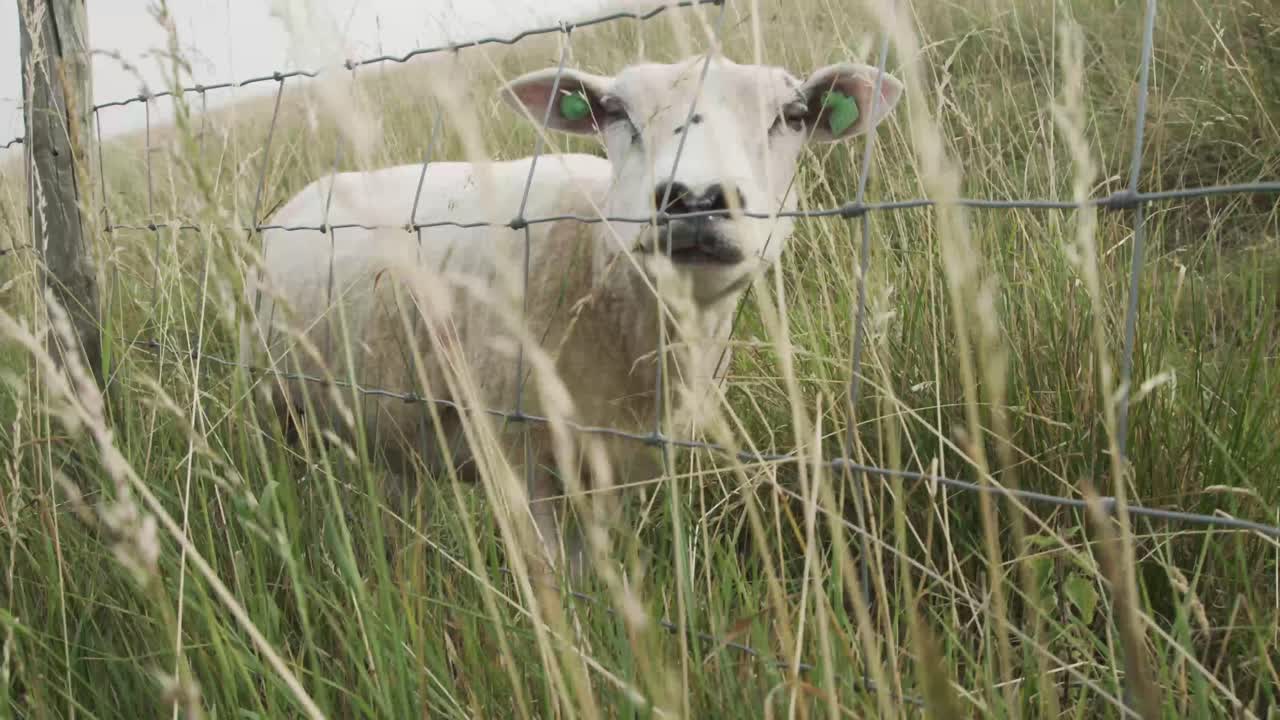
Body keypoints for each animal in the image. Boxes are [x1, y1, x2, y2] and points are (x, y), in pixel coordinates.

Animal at [239, 54, 903, 572]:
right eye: (612, 111)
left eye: (792, 115)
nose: (694, 199)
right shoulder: (516, 452)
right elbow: (551, 578)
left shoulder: (616, 465)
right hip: (279, 405)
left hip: (388, 418)